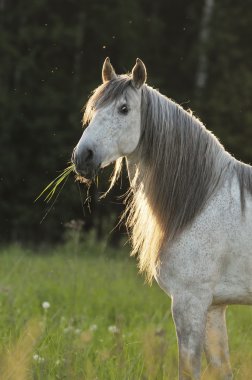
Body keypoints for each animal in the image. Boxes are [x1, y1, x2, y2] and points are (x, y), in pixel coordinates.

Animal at [71, 57, 252, 380]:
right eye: (93, 109)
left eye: (124, 109)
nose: (83, 157)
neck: (201, 202)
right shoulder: (214, 308)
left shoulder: (189, 303)